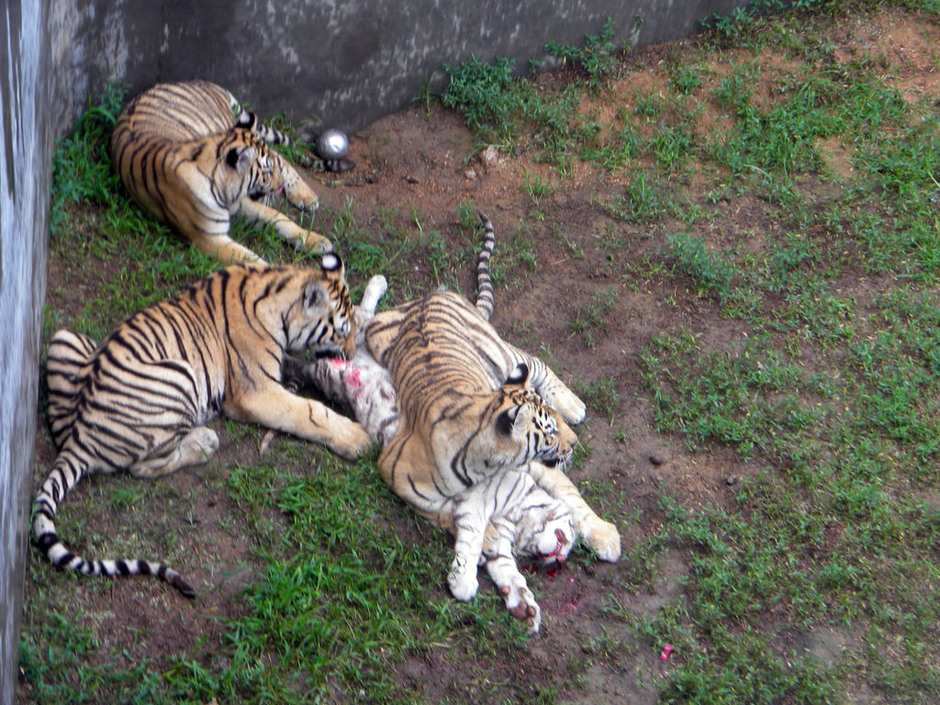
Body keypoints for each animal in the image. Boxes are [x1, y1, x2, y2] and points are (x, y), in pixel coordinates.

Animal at [34, 253, 370, 592]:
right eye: (341, 331)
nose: (352, 354)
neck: (279, 298)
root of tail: (79, 440)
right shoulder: (256, 391)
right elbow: (309, 412)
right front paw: (357, 438)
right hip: (180, 374)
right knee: (143, 465)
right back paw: (205, 440)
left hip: (66, 338)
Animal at [110, 80, 332, 266]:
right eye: (267, 172)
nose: (278, 186)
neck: (222, 188)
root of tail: (199, 81)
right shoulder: (210, 238)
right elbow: (251, 261)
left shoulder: (241, 204)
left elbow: (278, 217)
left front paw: (317, 240)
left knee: (280, 156)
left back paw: (306, 196)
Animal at [286, 216, 624, 632]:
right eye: (547, 432)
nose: (573, 444)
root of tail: (429, 297)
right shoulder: (405, 478)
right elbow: (476, 535)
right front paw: (506, 586)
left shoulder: (535, 472)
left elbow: (573, 500)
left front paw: (604, 537)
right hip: (380, 337)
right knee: (359, 318)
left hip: (494, 354)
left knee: (532, 361)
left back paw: (573, 404)